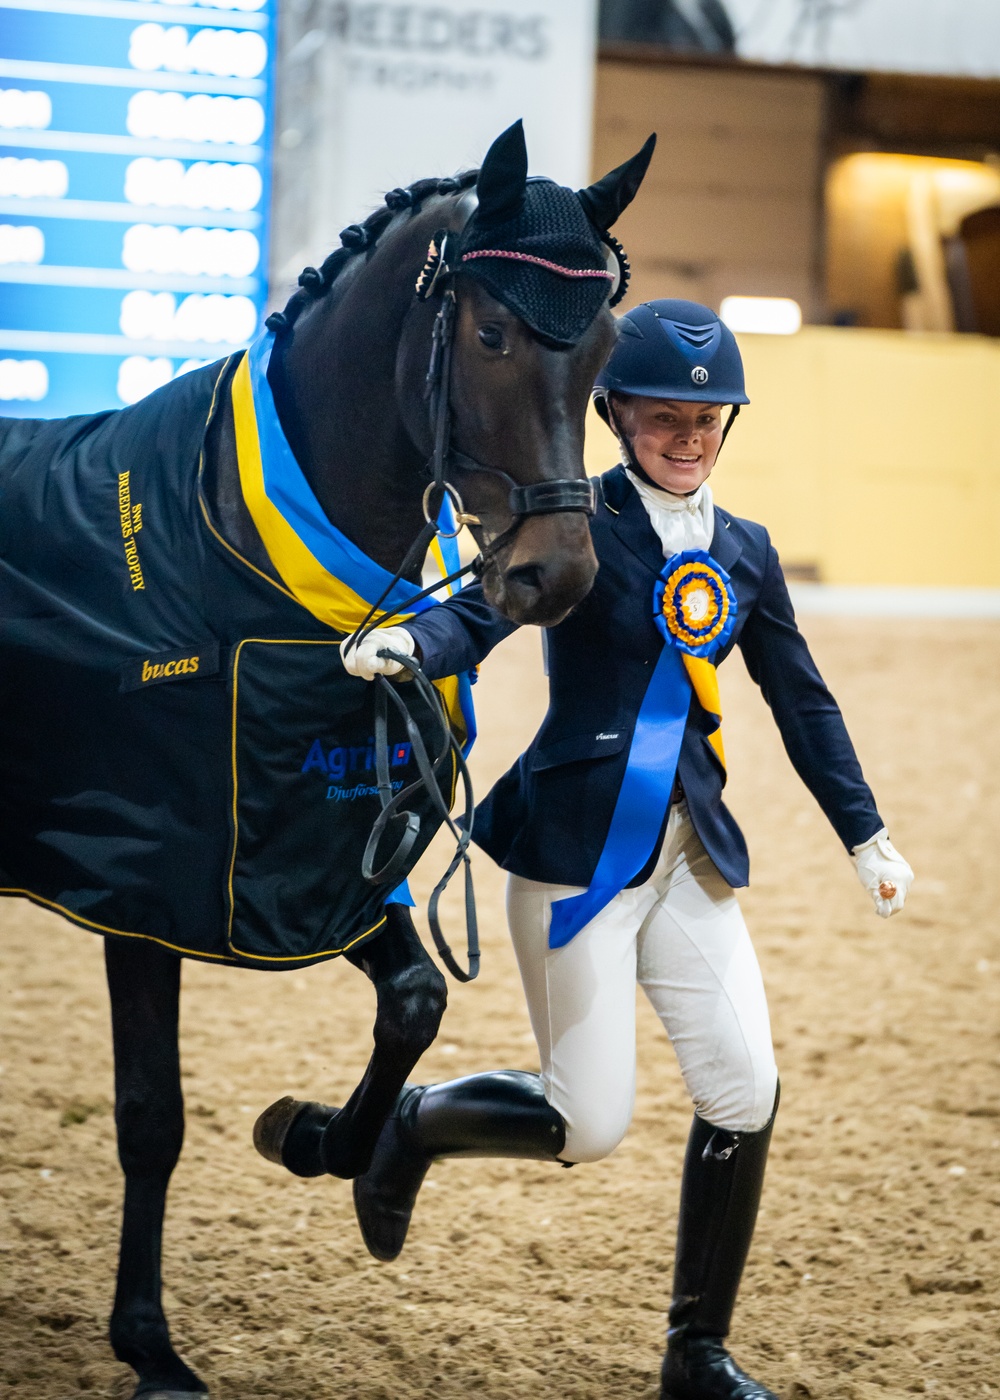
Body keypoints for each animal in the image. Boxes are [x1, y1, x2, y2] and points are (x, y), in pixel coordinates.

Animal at [0, 126, 649, 1394]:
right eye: (491, 335)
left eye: (601, 345)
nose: (555, 575)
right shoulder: (143, 884)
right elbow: (150, 1113)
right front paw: (148, 1343)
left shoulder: (323, 864)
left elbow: (412, 999)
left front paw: (321, 1140)